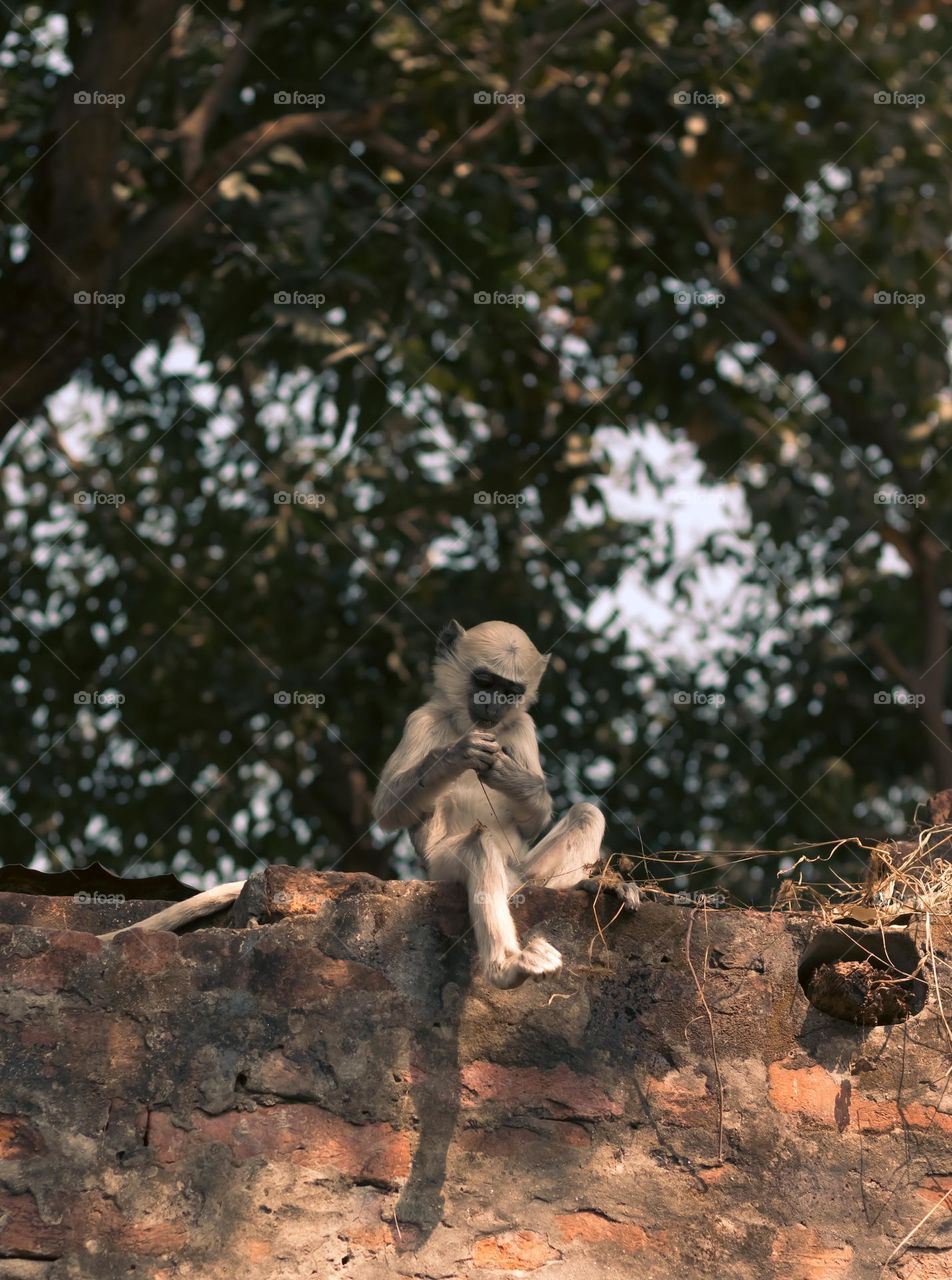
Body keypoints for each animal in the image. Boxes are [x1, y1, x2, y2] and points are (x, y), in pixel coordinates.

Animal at [371, 619, 638, 989]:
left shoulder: (523, 725)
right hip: (443, 867)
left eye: (510, 692)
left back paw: (585, 885)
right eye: (485, 683)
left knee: (587, 813)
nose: (493, 704)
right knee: (478, 844)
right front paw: (456, 755)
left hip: (528, 873)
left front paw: (506, 773)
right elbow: (387, 809)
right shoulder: (422, 720)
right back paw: (506, 966)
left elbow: (532, 821)